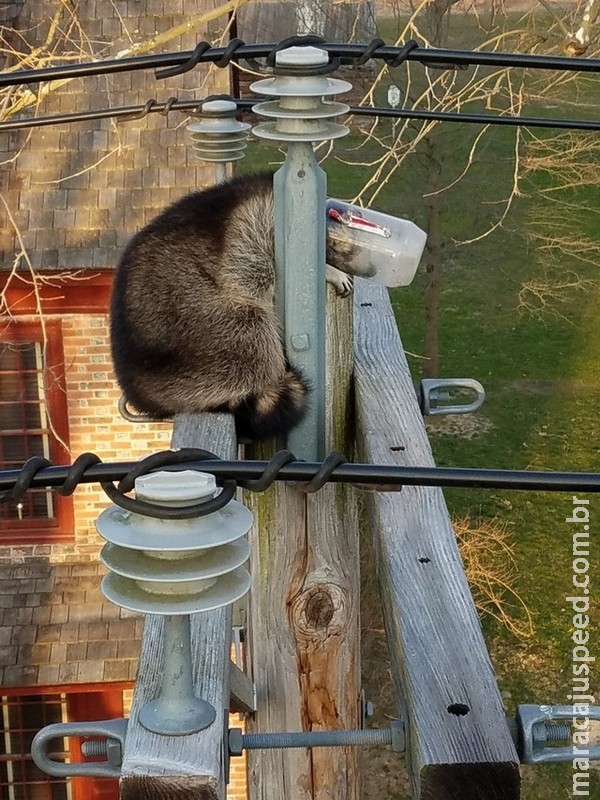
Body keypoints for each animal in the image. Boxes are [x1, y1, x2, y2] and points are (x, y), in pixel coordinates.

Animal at [110, 171, 368, 440]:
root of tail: (141, 388)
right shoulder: (256, 232)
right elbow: (265, 275)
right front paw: (329, 269)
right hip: (205, 323)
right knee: (253, 329)